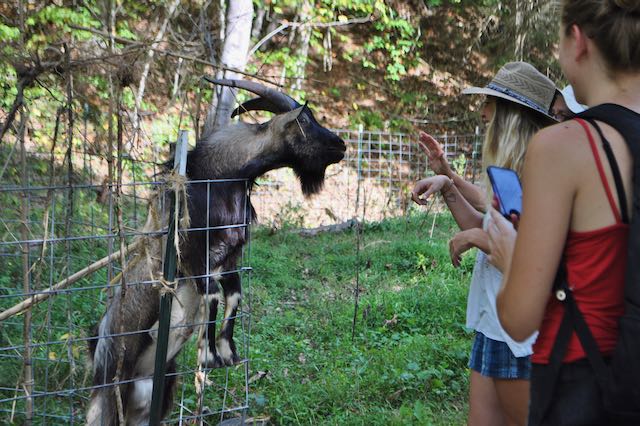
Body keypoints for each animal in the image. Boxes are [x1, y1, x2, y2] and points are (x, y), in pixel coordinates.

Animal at [86, 79, 346, 425]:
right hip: (109, 393)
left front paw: (228, 352)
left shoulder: (231, 256)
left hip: (158, 390)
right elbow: (211, 296)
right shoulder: (194, 256)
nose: (341, 145)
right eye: (304, 120)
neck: (220, 181)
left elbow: (234, 296)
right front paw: (209, 354)